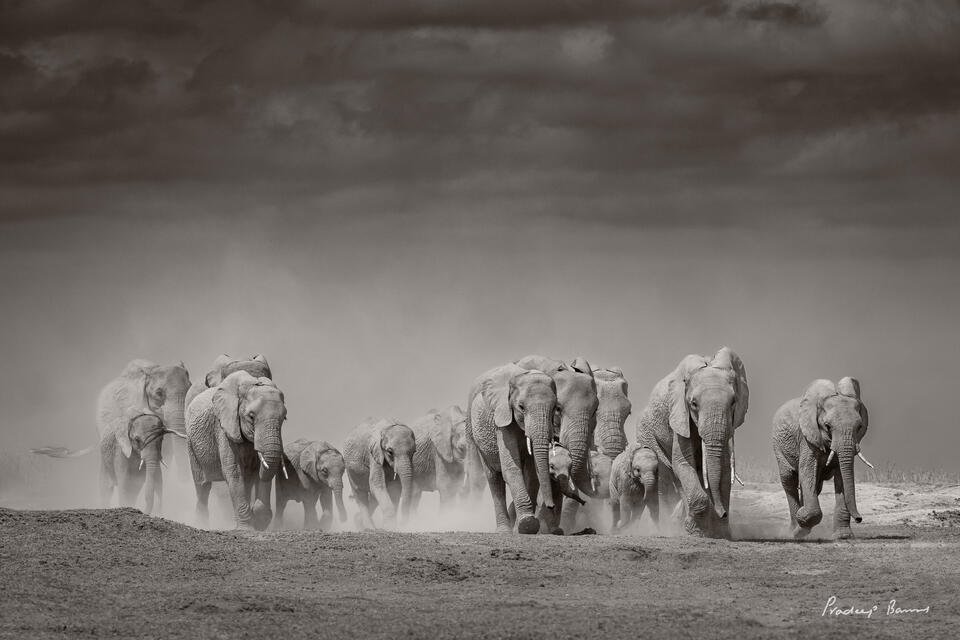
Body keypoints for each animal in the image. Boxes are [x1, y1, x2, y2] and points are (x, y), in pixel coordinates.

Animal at [185, 371, 287, 531]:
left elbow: (261, 471)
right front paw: (246, 529)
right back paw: (202, 524)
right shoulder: (224, 428)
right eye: (251, 417)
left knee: (247, 481)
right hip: (191, 444)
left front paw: (258, 522)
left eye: (284, 418)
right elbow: (233, 471)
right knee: (202, 486)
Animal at [635, 347, 749, 538]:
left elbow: (724, 468)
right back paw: (667, 528)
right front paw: (696, 532)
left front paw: (722, 534)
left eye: (733, 402)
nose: (723, 513)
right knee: (665, 480)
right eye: (694, 404)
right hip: (647, 435)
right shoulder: (679, 416)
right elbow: (682, 462)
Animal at [772, 377, 872, 539]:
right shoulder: (807, 438)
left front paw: (843, 536)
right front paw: (801, 521)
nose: (859, 519)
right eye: (827, 426)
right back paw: (794, 529)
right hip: (778, 446)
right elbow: (807, 471)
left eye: (859, 427)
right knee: (789, 479)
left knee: (815, 486)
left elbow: (842, 477)